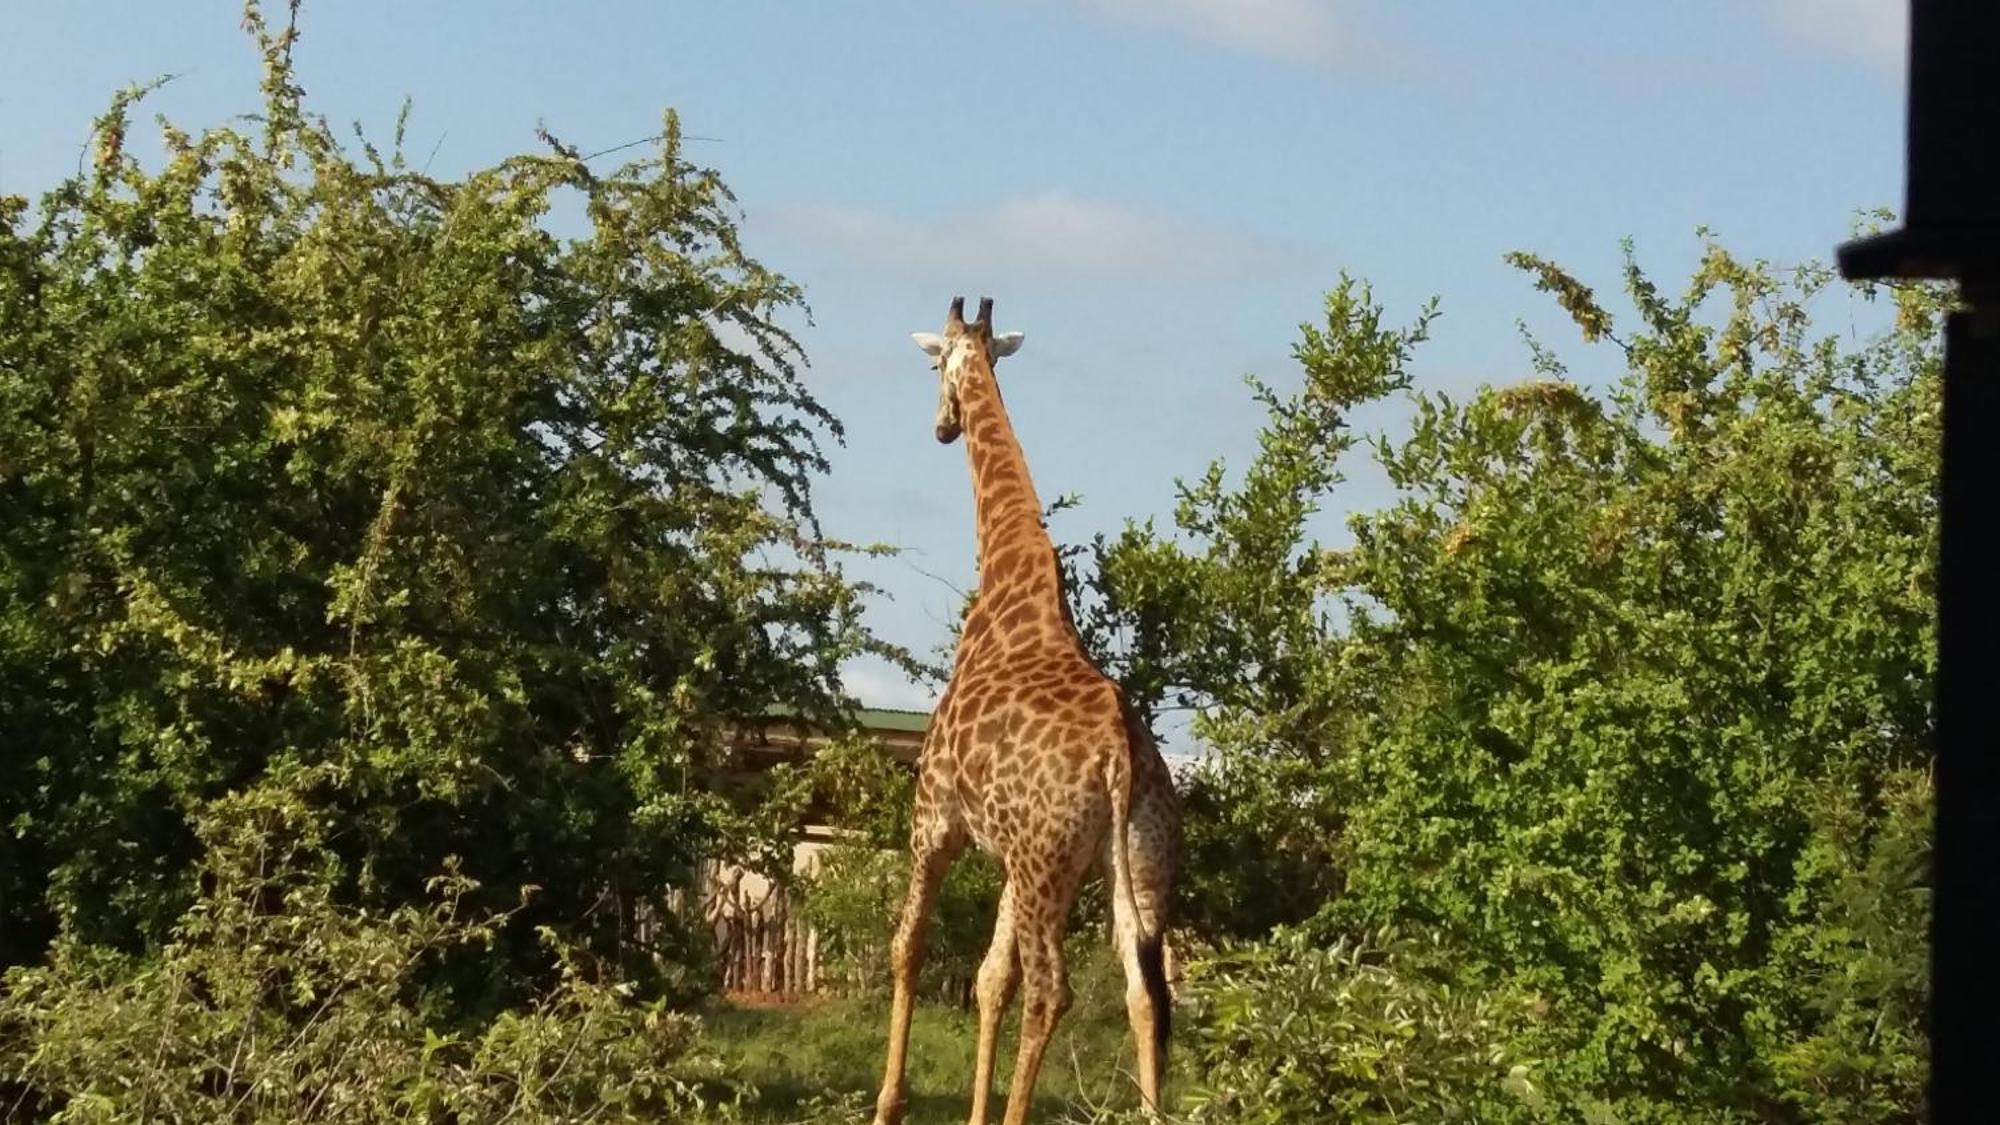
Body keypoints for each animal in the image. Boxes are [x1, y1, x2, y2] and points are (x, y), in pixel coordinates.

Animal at [872, 294, 1168, 1112]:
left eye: (934, 366)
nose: (943, 427)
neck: (1012, 585)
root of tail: (1117, 760)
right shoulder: (1008, 854)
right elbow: (987, 980)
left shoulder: (936, 815)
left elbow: (909, 947)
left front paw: (889, 1103)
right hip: (1135, 867)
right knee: (1146, 994)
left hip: (1047, 865)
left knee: (1052, 990)